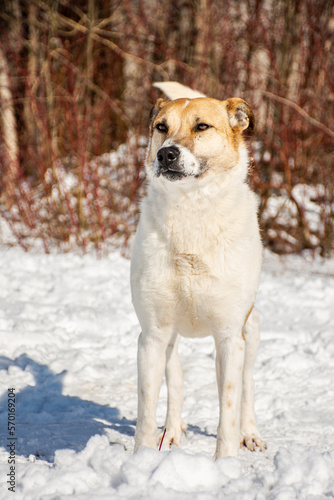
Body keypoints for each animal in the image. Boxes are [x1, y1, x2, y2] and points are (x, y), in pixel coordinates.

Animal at [130, 83, 266, 460]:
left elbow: (229, 408)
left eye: (202, 126)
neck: (191, 209)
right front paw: (141, 461)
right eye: (161, 127)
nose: (166, 155)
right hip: (170, 339)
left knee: (248, 385)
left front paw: (226, 464)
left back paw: (250, 434)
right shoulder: (152, 335)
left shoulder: (230, 337)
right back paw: (173, 431)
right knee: (175, 379)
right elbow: (146, 410)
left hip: (251, 332)